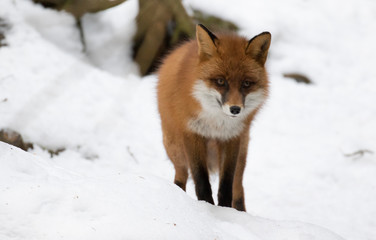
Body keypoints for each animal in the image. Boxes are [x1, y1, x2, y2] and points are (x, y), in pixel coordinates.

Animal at [156, 23, 270, 212]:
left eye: (246, 83)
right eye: (220, 81)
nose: (235, 109)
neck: (217, 124)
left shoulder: (232, 138)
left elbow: (226, 185)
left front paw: (225, 210)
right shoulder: (192, 133)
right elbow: (201, 181)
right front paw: (207, 208)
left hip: (242, 154)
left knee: (238, 187)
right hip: (176, 148)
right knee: (181, 176)